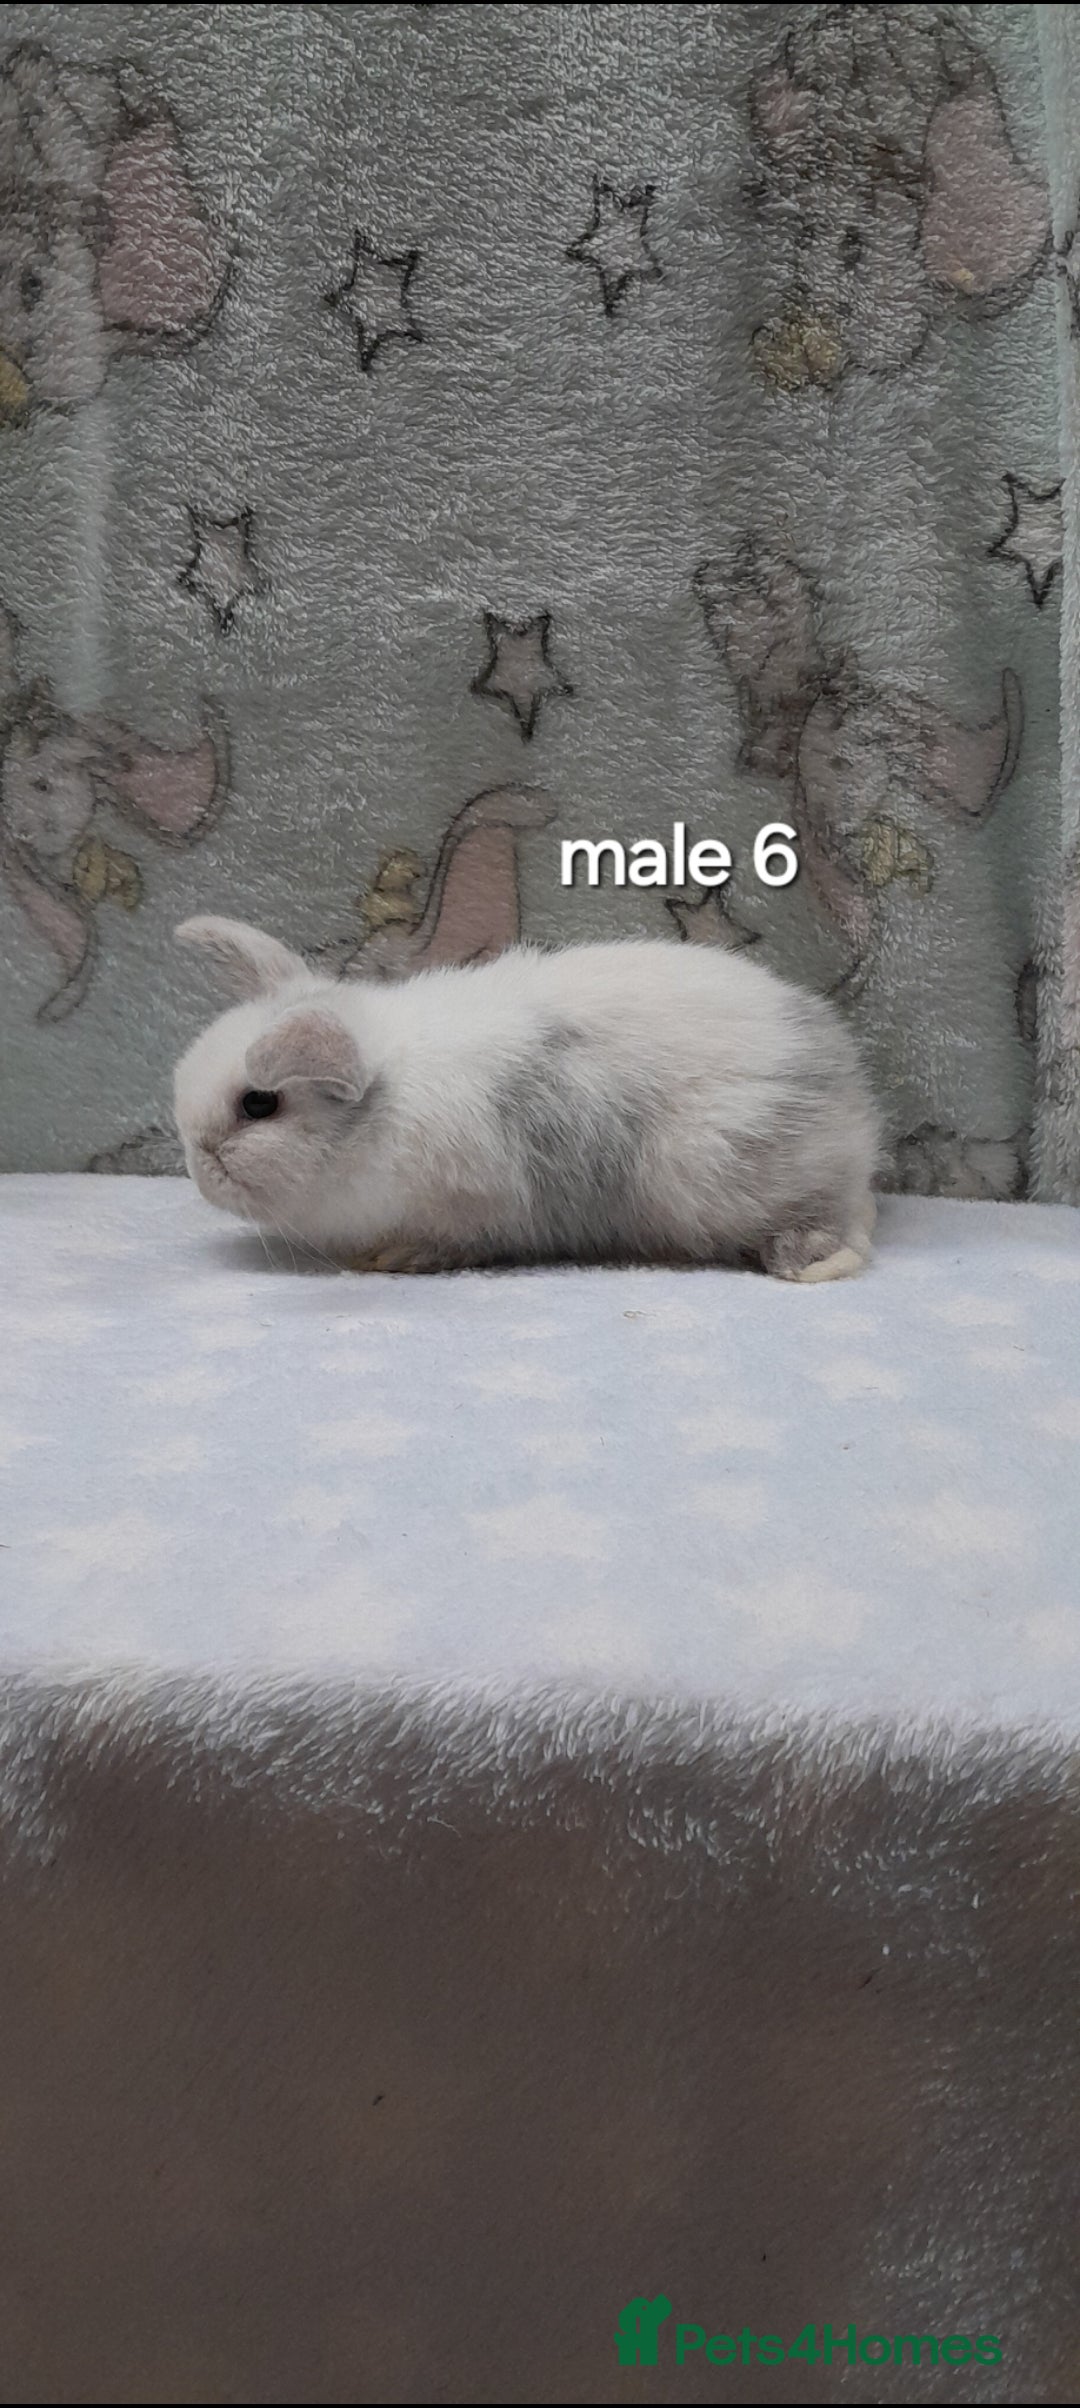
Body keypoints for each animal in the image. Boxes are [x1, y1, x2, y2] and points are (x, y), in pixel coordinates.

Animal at [172, 916, 881, 1279]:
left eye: (258, 1105)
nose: (198, 1168)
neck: (382, 1105)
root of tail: (852, 1100)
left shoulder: (476, 1206)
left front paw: (392, 1258)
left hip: (723, 1169)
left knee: (848, 1221)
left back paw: (807, 1258)